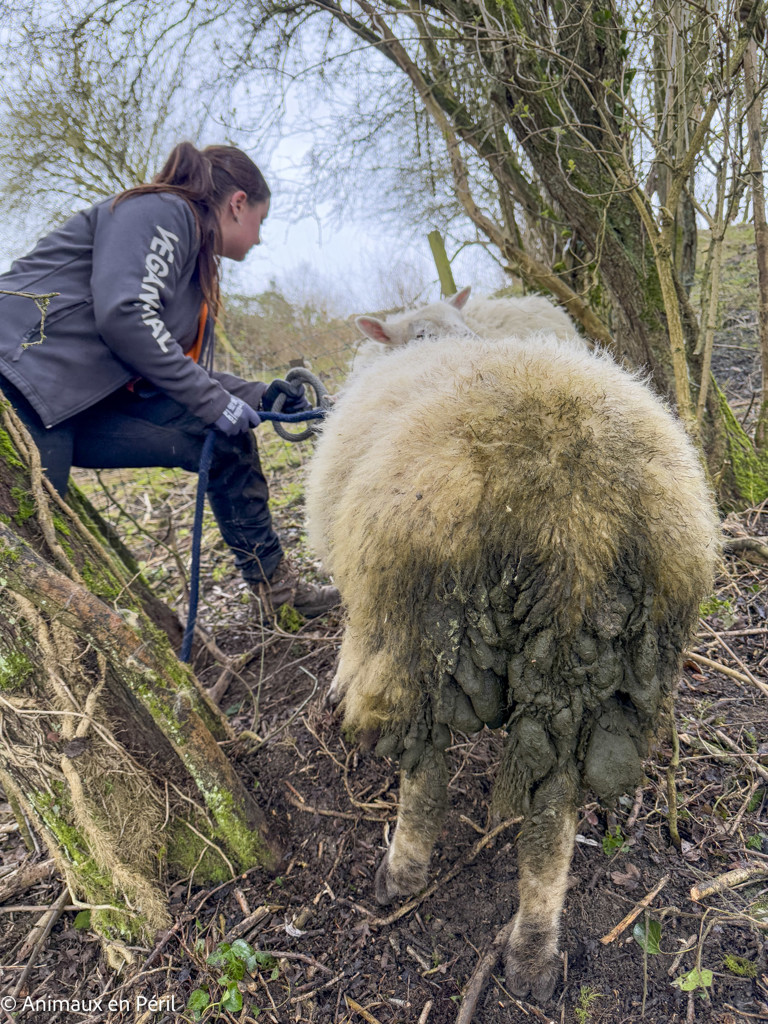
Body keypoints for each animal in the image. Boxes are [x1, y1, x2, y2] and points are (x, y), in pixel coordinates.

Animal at [305, 309, 720, 1003]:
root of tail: (575, 525)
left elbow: (351, 645)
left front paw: (337, 683)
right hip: (602, 664)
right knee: (555, 813)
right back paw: (532, 953)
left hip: (421, 627)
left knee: (425, 773)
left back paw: (402, 873)